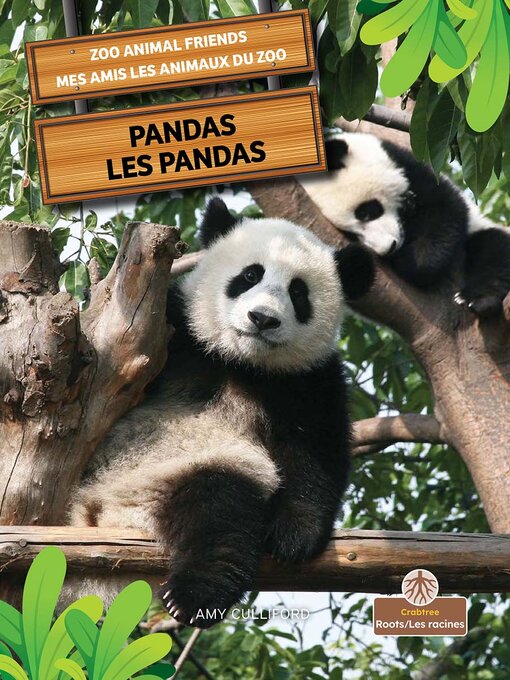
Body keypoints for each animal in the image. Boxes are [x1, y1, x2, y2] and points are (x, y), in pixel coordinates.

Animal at [69, 198, 375, 628]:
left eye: (298, 292)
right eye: (249, 275)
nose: (262, 319)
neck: (237, 361)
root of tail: (101, 515)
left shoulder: (307, 381)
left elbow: (316, 452)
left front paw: (294, 536)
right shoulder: (175, 329)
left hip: (183, 471)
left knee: (220, 513)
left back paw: (196, 593)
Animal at [300, 132, 510, 317]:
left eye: (366, 212)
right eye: (351, 234)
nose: (389, 248)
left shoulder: (414, 172)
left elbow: (445, 212)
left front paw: (408, 259)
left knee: (494, 251)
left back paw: (477, 299)